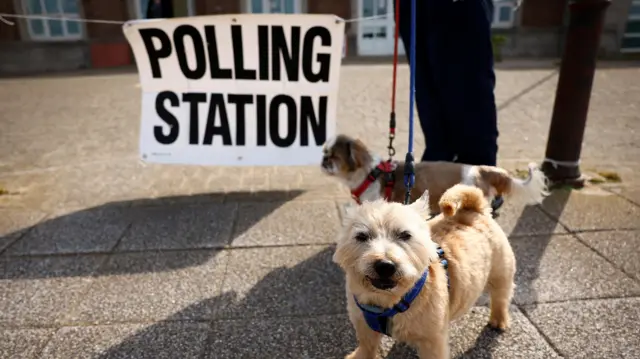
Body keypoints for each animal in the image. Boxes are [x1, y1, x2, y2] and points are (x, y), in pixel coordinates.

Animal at [332, 184, 516, 358]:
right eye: (361, 236)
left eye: (405, 235)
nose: (385, 265)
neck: (388, 301)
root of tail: (474, 208)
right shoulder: (363, 325)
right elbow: (366, 346)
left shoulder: (432, 341)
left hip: (501, 271)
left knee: (501, 297)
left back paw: (498, 320)